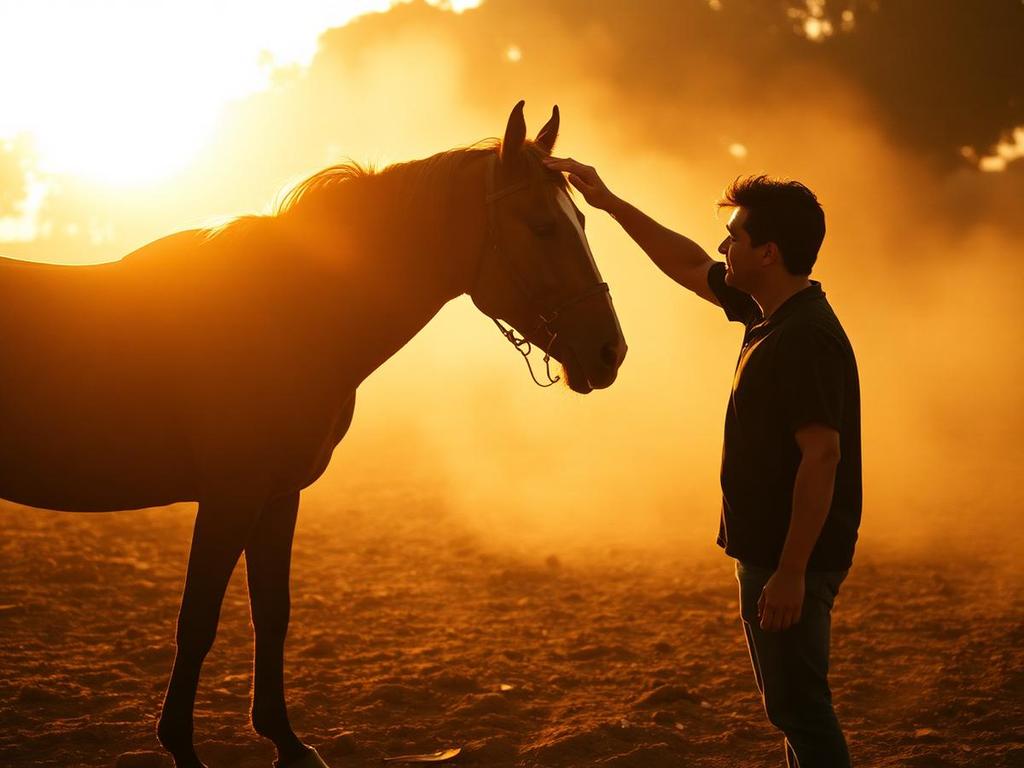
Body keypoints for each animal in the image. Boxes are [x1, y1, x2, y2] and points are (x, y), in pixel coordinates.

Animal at [0, 101, 626, 768]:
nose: (610, 352)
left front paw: (285, 738)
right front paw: (183, 747)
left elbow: (272, 613)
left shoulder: (277, 495)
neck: (290, 313)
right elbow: (197, 620)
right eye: (542, 227)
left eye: (581, 219)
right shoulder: (230, 497)